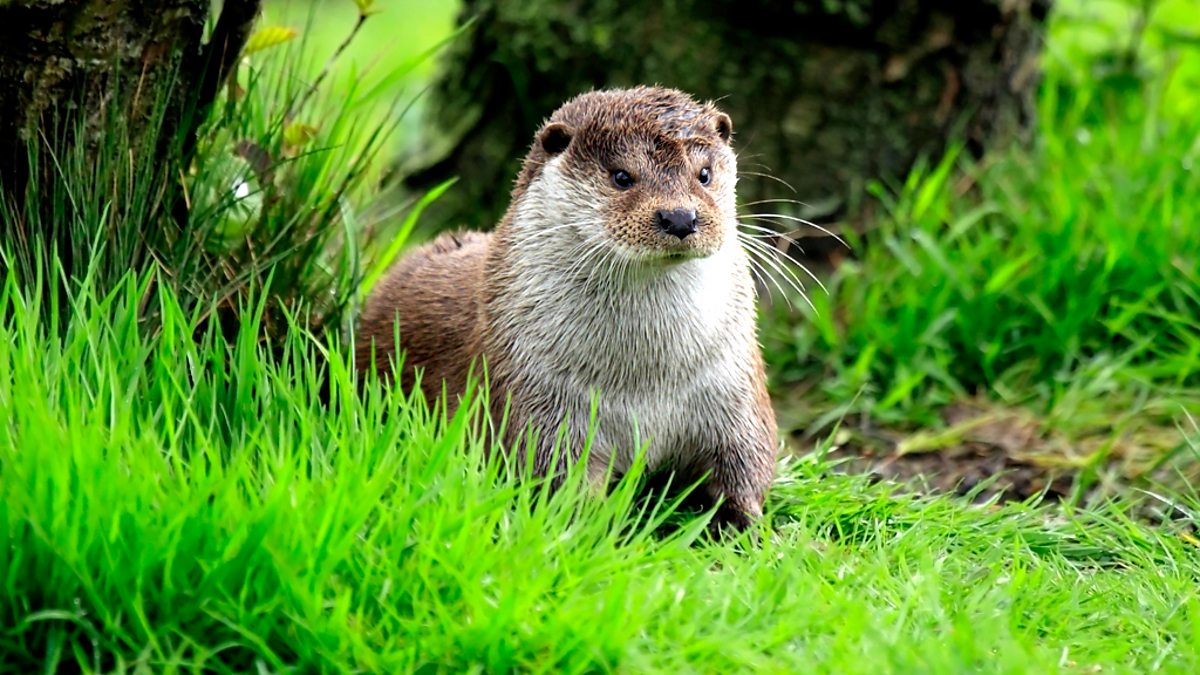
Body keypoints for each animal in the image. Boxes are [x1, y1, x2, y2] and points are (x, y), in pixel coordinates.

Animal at [355, 86, 777, 530]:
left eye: (704, 174)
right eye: (621, 177)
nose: (680, 217)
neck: (646, 380)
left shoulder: (732, 391)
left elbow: (746, 464)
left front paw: (745, 525)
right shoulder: (542, 400)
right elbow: (557, 482)